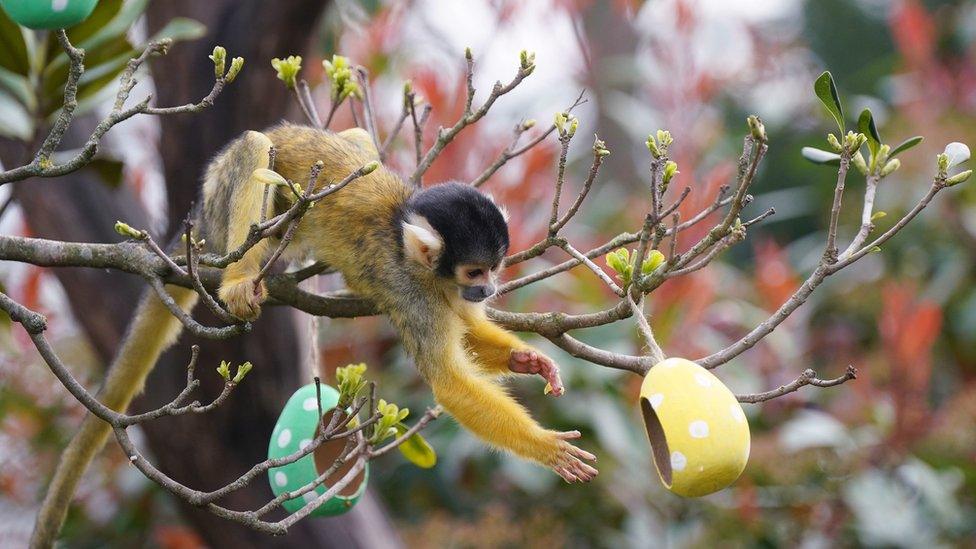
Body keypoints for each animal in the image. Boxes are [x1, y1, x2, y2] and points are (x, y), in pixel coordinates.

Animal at [38, 123, 600, 544]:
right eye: (475, 271)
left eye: (493, 269)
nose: (489, 289)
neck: (414, 254)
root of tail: (196, 220)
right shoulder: (412, 291)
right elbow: (449, 381)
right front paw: (546, 447)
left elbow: (468, 329)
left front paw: (528, 361)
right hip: (219, 205)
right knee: (254, 149)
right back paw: (240, 275)